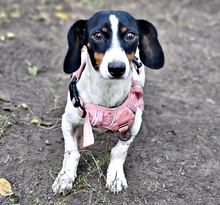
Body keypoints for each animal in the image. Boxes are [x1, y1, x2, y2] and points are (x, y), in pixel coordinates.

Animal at [52, 10, 164, 195]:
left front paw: (116, 176)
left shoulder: (133, 124)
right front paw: (65, 177)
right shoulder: (67, 121)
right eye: (97, 35)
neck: (106, 92)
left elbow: (119, 150)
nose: (117, 68)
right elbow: (71, 151)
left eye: (131, 35)